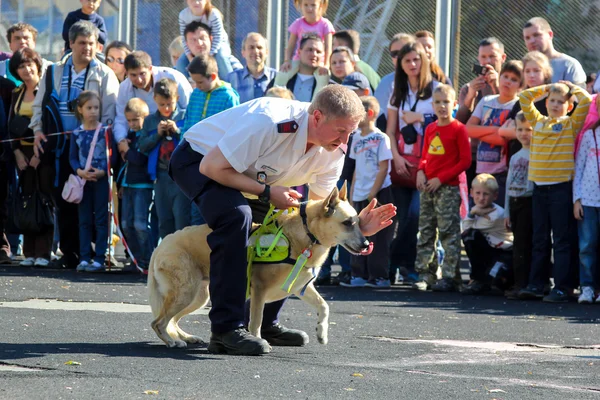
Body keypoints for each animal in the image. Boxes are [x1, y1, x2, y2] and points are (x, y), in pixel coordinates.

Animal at [147, 184, 368, 346]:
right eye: (347, 223)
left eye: (358, 222)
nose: (367, 245)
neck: (304, 236)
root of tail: (163, 243)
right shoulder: (259, 291)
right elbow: (256, 320)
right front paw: (257, 340)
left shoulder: (300, 287)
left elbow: (324, 306)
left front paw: (322, 332)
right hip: (186, 293)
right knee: (158, 322)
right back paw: (172, 342)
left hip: (198, 296)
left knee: (172, 321)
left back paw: (185, 338)